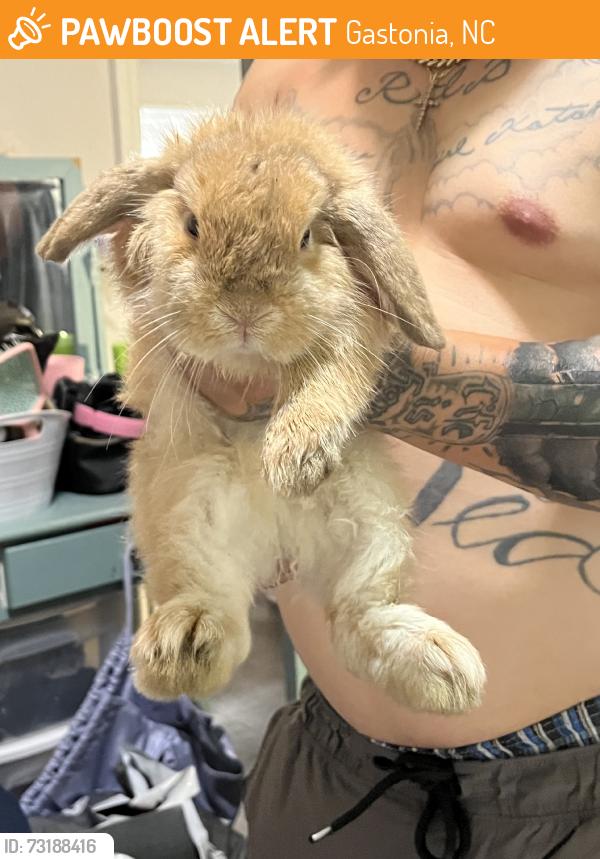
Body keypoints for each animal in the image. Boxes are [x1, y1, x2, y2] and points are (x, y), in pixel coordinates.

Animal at [37, 110, 486, 714]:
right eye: (192, 224)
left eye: (306, 236)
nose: (245, 310)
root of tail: (279, 548)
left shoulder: (348, 337)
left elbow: (328, 384)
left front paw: (293, 461)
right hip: (185, 518)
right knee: (217, 604)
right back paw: (181, 649)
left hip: (376, 526)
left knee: (358, 612)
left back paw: (443, 669)